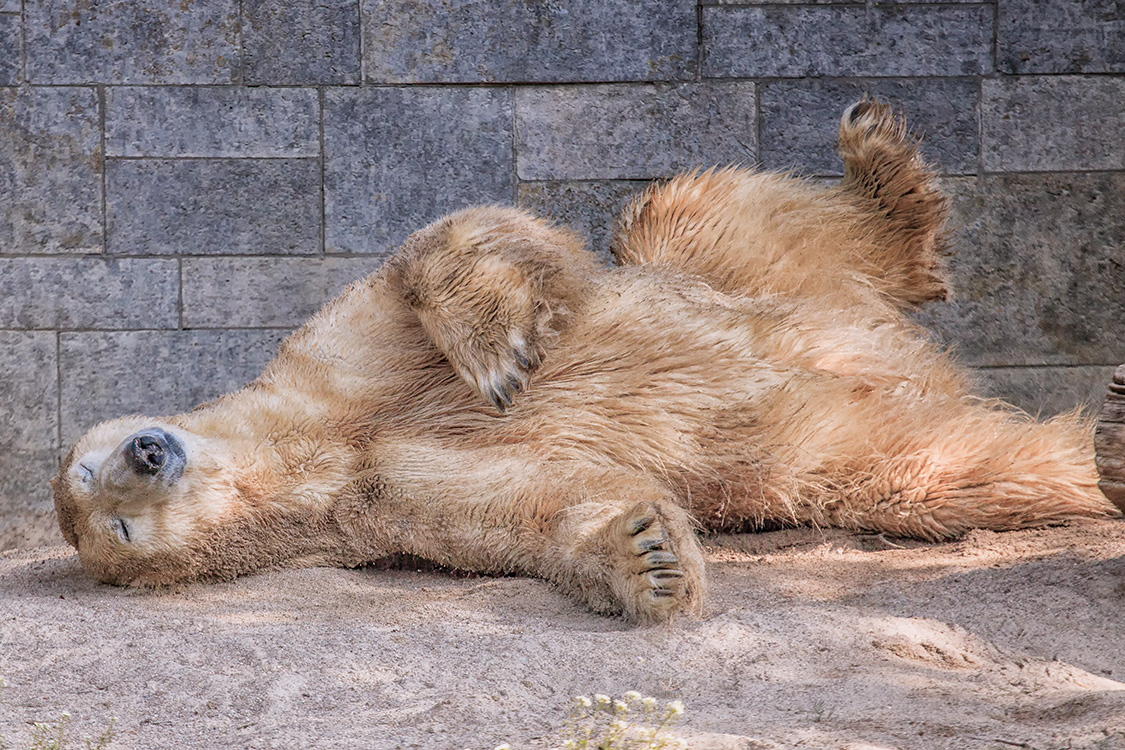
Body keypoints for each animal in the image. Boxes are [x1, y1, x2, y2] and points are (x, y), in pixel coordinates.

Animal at [48, 102, 1120, 625]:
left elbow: (452, 244)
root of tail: (903, 353)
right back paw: (1101, 444)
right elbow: (538, 508)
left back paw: (876, 160)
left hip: (734, 275)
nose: (147, 453)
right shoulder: (382, 507)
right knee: (936, 467)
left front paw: (498, 353)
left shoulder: (329, 359)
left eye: (93, 466)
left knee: (689, 208)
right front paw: (646, 561)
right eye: (117, 526)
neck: (311, 447)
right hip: (816, 442)